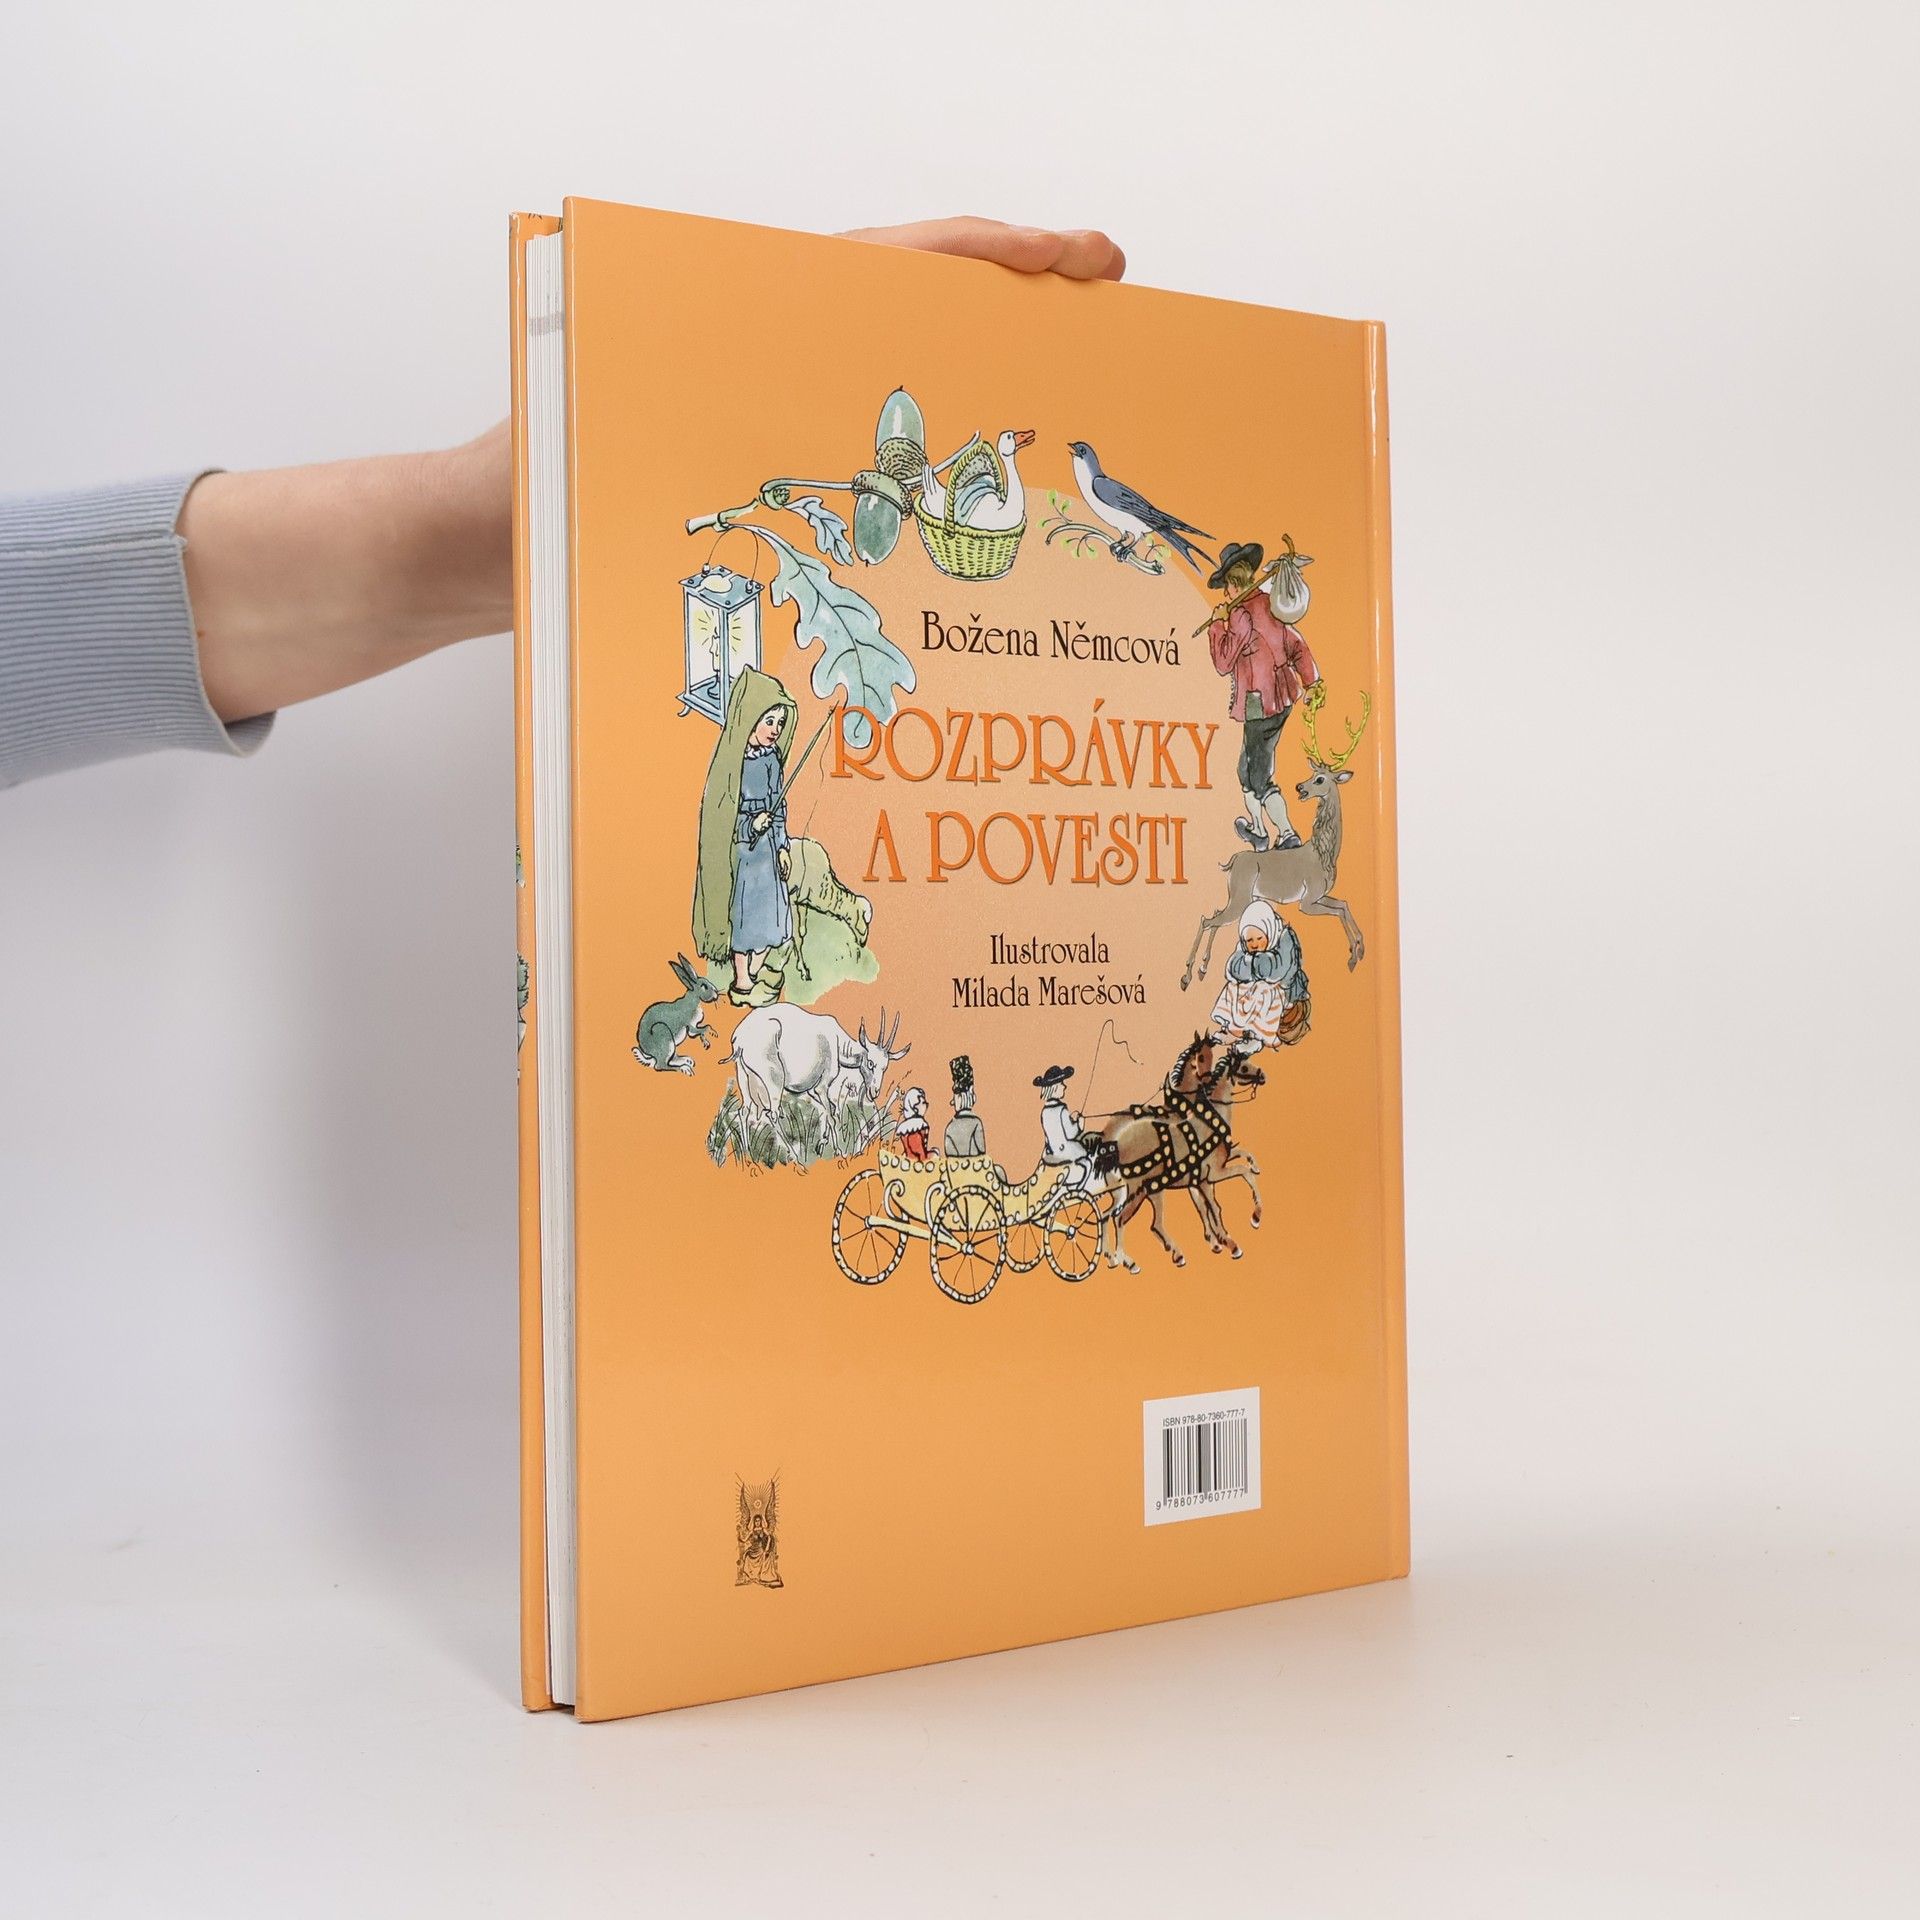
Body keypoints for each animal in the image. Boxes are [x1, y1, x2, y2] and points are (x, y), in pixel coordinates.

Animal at [1180, 690, 1371, 989]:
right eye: (1313, 775)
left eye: (1320, 779)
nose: (1300, 787)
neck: (1323, 854)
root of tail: (1234, 861)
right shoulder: (1307, 901)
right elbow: (1340, 910)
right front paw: (1354, 955)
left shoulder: (1321, 894)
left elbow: (1344, 904)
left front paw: (1358, 951)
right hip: (1240, 897)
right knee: (1206, 919)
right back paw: (1187, 975)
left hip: (1240, 898)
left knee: (1212, 918)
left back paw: (1201, 969)